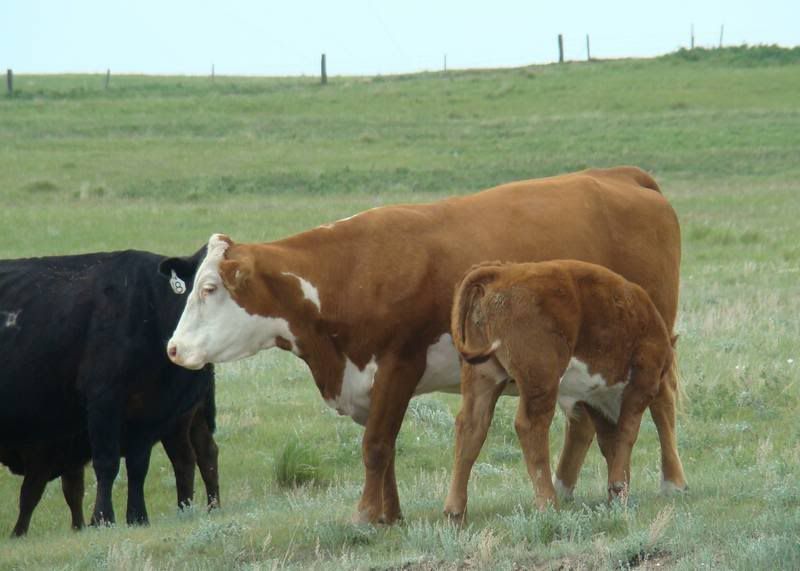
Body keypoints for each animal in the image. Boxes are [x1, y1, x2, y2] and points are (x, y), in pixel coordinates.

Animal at [0, 247, 219, 533]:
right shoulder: (104, 401)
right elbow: (106, 463)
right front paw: (102, 518)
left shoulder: (149, 411)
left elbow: (137, 465)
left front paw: (137, 516)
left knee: (197, 454)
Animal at [443, 260, 675, 521]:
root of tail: (502, 273)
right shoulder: (642, 383)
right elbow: (627, 433)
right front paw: (619, 489)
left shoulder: (594, 400)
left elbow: (610, 443)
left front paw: (615, 495)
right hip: (541, 379)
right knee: (531, 427)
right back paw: (549, 503)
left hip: (483, 376)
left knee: (471, 427)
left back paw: (455, 512)